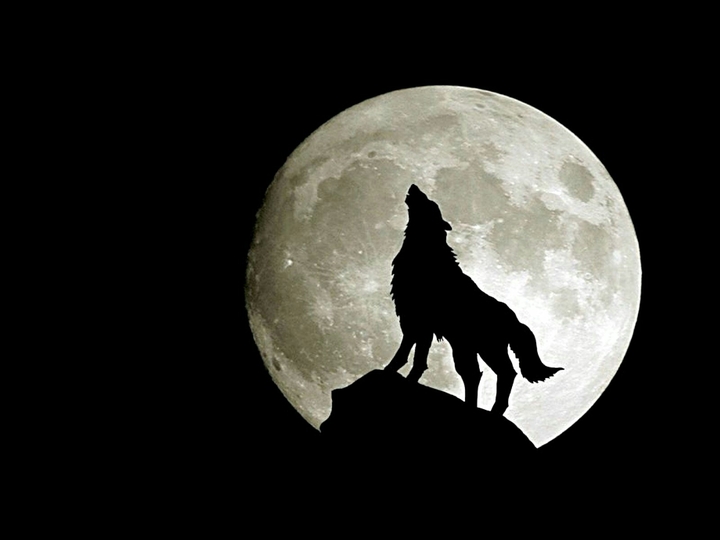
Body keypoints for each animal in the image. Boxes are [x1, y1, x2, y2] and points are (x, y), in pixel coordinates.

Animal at [384, 184, 562, 415]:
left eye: (430, 203)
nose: (414, 187)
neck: (426, 252)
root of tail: (514, 319)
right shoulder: (422, 326)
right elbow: (418, 359)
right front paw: (408, 379)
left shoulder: (416, 320)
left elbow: (405, 354)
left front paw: (389, 371)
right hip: (466, 347)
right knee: (475, 374)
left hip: (484, 348)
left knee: (503, 373)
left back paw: (492, 411)